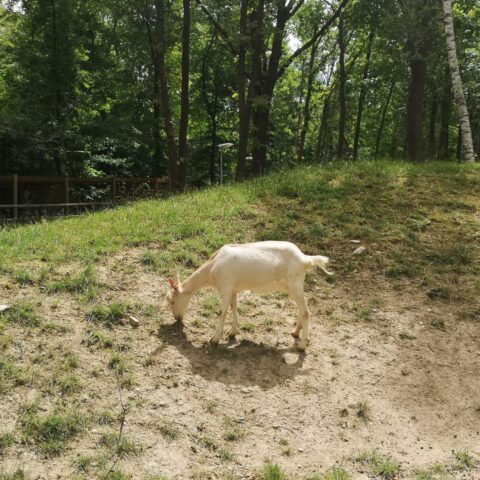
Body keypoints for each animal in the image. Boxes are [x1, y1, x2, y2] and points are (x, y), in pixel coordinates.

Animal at [165, 242, 330, 350]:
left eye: (171, 301)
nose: (177, 319)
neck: (212, 268)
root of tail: (305, 259)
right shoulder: (233, 289)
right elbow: (234, 307)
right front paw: (232, 333)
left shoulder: (226, 288)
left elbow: (222, 312)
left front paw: (215, 340)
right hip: (291, 286)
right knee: (302, 306)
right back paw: (296, 332)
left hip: (294, 284)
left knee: (306, 312)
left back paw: (302, 345)